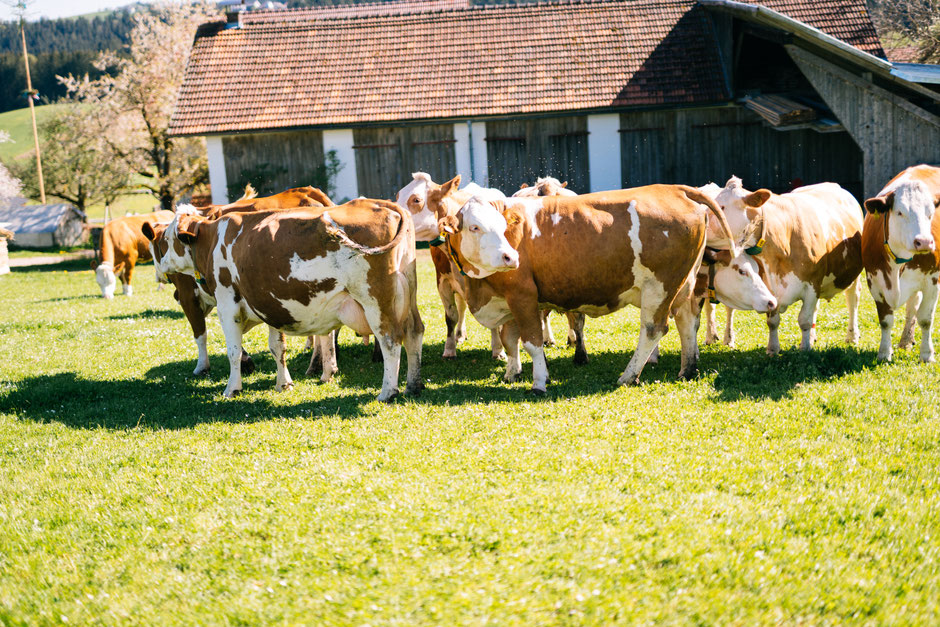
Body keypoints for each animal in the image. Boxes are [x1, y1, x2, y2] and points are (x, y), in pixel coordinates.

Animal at [145, 199, 423, 402]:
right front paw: (284, 383)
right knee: (414, 333)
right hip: (407, 296)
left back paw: (388, 392)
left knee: (390, 340)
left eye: (167, 240)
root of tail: (383, 204)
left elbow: (233, 351)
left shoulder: (227, 305)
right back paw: (413, 385)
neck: (213, 239)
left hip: (376, 301)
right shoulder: (270, 304)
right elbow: (277, 347)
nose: (161, 266)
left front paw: (232, 388)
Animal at [431, 185, 768, 393]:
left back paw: (628, 375)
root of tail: (674, 188)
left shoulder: (523, 295)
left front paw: (539, 382)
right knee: (688, 323)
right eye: (475, 227)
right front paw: (512, 372)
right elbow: (509, 339)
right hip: (682, 284)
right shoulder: (510, 299)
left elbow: (531, 342)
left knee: (653, 329)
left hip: (659, 286)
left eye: (502, 227)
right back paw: (688, 369)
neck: (480, 286)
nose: (510, 257)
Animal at [706, 177, 864, 355]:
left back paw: (852, 336)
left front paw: (805, 349)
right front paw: (773, 349)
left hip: (853, 274)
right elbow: (773, 321)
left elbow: (804, 320)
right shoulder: (769, 288)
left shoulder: (812, 285)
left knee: (852, 299)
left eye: (721, 207)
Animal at [862, 164, 940, 363]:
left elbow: (926, 319)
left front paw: (927, 354)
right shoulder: (875, 282)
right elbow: (885, 320)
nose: (924, 242)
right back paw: (905, 340)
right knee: (912, 307)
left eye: (930, 214)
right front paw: (884, 352)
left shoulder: (932, 280)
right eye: (900, 212)